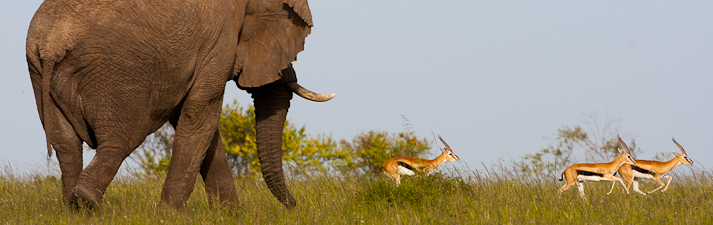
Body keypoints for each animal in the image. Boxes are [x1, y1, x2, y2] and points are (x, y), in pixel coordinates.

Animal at [24, 0, 330, 209]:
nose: (296, 205)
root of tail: (52, 42)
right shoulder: (220, 42)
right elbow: (199, 116)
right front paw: (170, 214)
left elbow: (200, 124)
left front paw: (231, 214)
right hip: (117, 73)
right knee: (120, 141)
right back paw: (85, 202)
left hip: (39, 73)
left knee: (66, 146)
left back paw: (72, 210)